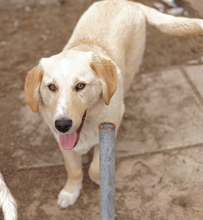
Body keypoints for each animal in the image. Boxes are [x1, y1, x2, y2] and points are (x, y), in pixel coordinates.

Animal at [24, 0, 203, 208]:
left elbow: (95, 167)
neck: (88, 124)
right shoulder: (62, 141)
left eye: (80, 85)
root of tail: (129, 3)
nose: (62, 124)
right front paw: (70, 192)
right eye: (51, 87)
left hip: (131, 68)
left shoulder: (107, 132)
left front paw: (100, 179)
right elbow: (73, 169)